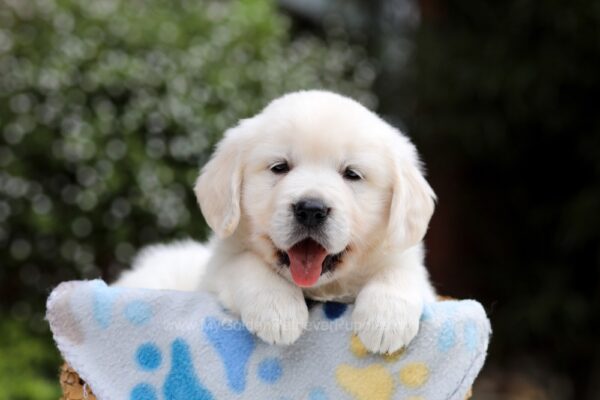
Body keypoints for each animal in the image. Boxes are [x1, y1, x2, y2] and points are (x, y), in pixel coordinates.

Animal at [116, 90, 436, 354]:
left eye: (352, 174)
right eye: (279, 167)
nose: (311, 209)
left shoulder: (410, 267)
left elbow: (399, 271)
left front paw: (387, 321)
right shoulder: (216, 270)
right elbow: (245, 264)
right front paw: (279, 311)